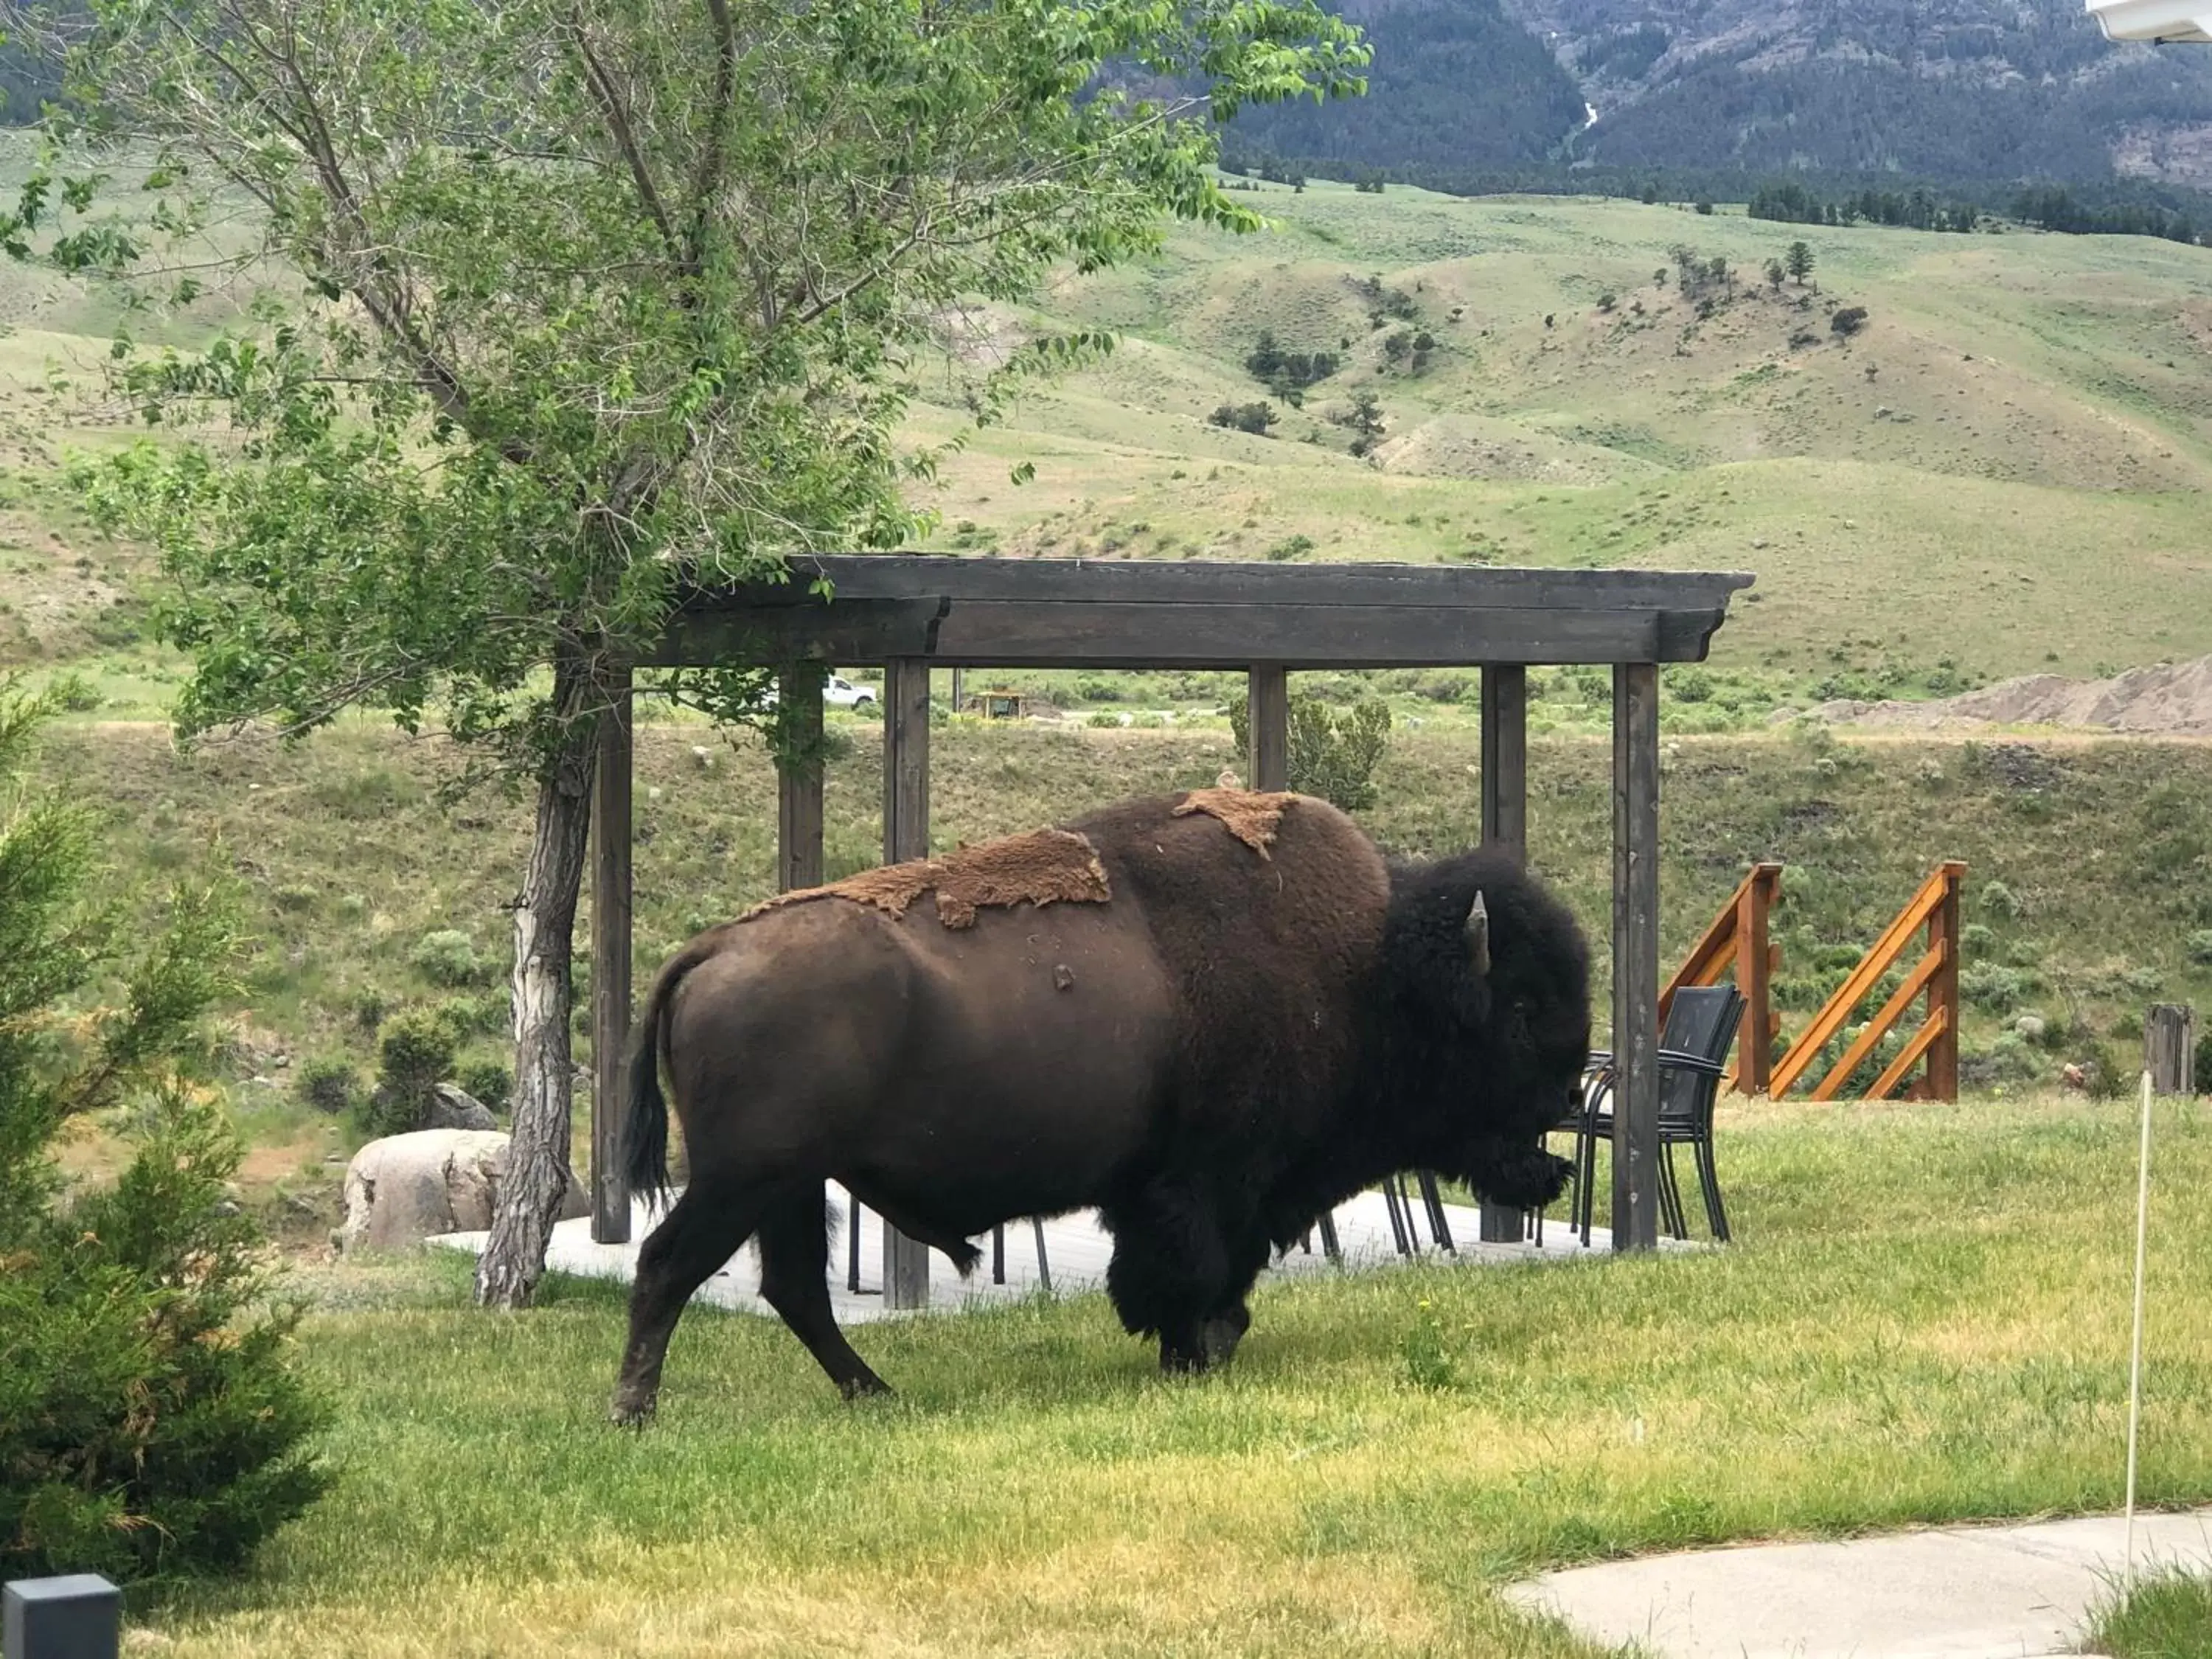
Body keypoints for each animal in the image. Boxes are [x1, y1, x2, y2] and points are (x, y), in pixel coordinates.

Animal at [611, 787, 1593, 1425]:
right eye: (1517, 1008)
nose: (1566, 1097)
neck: (1373, 969)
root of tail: (707, 950)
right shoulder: (1216, 1179)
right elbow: (1200, 1268)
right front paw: (1201, 1349)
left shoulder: (1166, 1187)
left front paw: (1195, 1346)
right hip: (745, 1178)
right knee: (669, 1266)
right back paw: (636, 1412)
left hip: (787, 1184)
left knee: (794, 1287)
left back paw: (877, 1396)